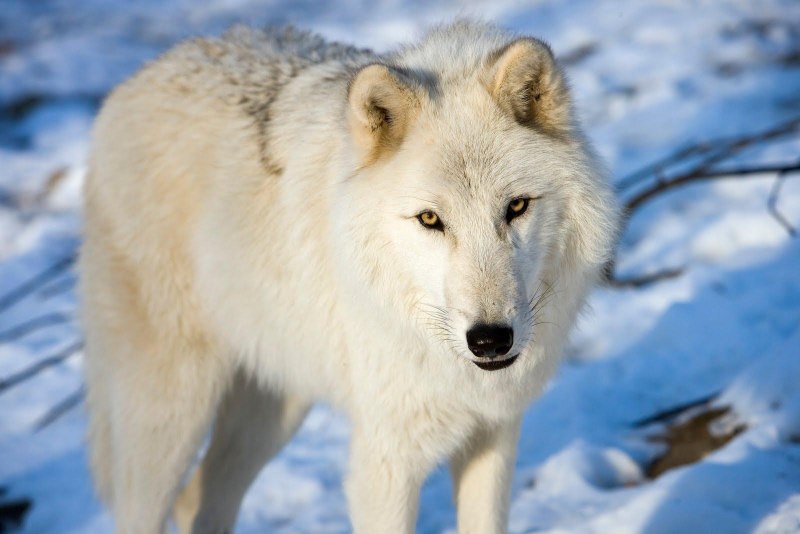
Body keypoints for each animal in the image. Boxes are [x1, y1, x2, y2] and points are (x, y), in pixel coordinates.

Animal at [80, 19, 618, 533]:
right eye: (430, 219)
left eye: (517, 207)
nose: (489, 340)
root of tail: (130, 85)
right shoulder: (386, 462)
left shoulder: (494, 435)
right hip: (171, 411)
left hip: (278, 402)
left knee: (197, 501)